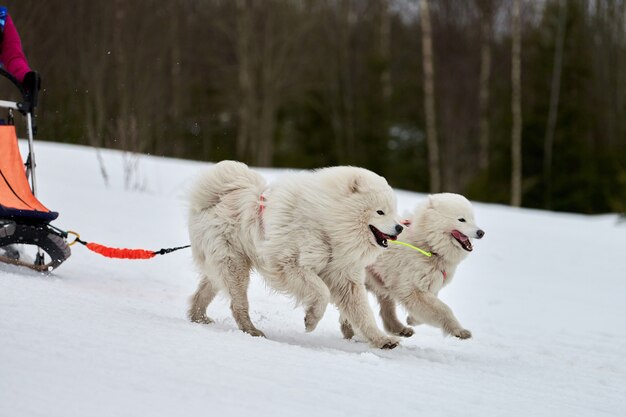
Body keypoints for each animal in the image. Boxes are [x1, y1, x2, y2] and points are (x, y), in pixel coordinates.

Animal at [185, 161, 402, 350]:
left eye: (393, 211)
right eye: (380, 212)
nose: (400, 228)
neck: (327, 224)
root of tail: (215, 197)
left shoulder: (345, 277)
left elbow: (363, 314)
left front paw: (383, 340)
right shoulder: (289, 265)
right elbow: (321, 292)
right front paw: (311, 320)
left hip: (225, 265)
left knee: (204, 291)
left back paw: (198, 317)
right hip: (235, 266)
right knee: (237, 303)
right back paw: (251, 330)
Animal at [342, 193, 482, 340]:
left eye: (472, 218)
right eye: (462, 219)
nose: (481, 232)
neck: (427, 245)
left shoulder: (430, 285)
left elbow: (430, 310)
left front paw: (412, 319)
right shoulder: (412, 288)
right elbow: (444, 309)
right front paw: (460, 331)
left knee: (385, 311)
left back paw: (398, 329)